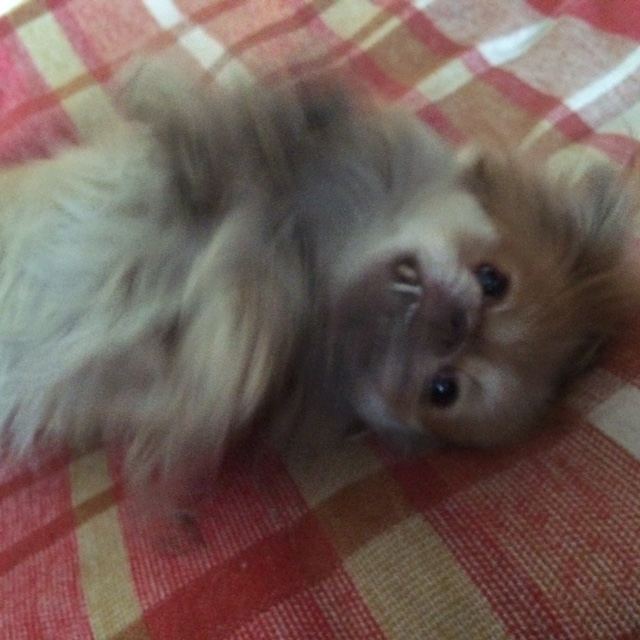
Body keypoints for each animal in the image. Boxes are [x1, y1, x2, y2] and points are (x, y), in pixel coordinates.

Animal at [0, 59, 636, 503]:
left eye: (442, 390)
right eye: (492, 280)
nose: (454, 323)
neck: (315, 258)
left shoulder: (149, 374)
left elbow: (226, 349)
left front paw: (248, 319)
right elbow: (224, 158)